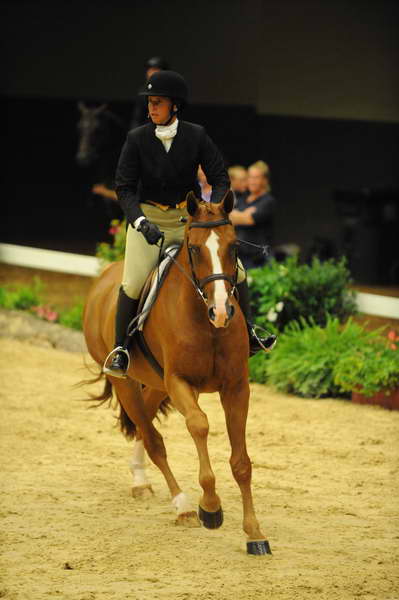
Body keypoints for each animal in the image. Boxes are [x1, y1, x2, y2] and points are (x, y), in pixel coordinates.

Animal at [83, 190, 274, 556]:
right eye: (196, 249)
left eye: (233, 247)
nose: (221, 312)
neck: (205, 322)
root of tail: (104, 279)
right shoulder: (180, 382)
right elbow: (199, 425)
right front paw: (210, 508)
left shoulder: (236, 387)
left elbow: (242, 463)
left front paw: (255, 533)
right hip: (125, 381)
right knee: (153, 438)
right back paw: (183, 505)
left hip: (157, 384)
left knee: (145, 424)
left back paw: (141, 481)